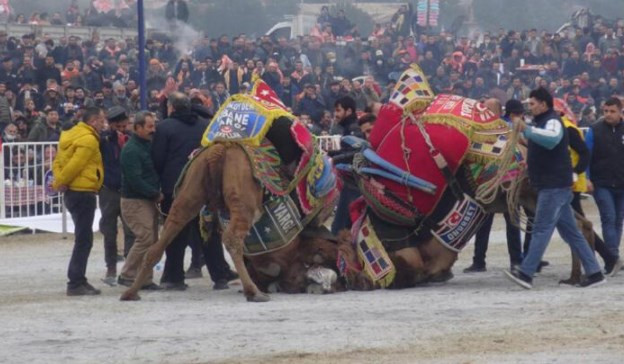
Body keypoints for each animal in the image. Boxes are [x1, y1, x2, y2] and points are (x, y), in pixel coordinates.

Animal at [120, 144, 342, 302]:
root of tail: (219, 152)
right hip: (242, 199)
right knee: (232, 239)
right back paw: (253, 292)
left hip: (190, 190)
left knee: (163, 237)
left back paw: (131, 292)